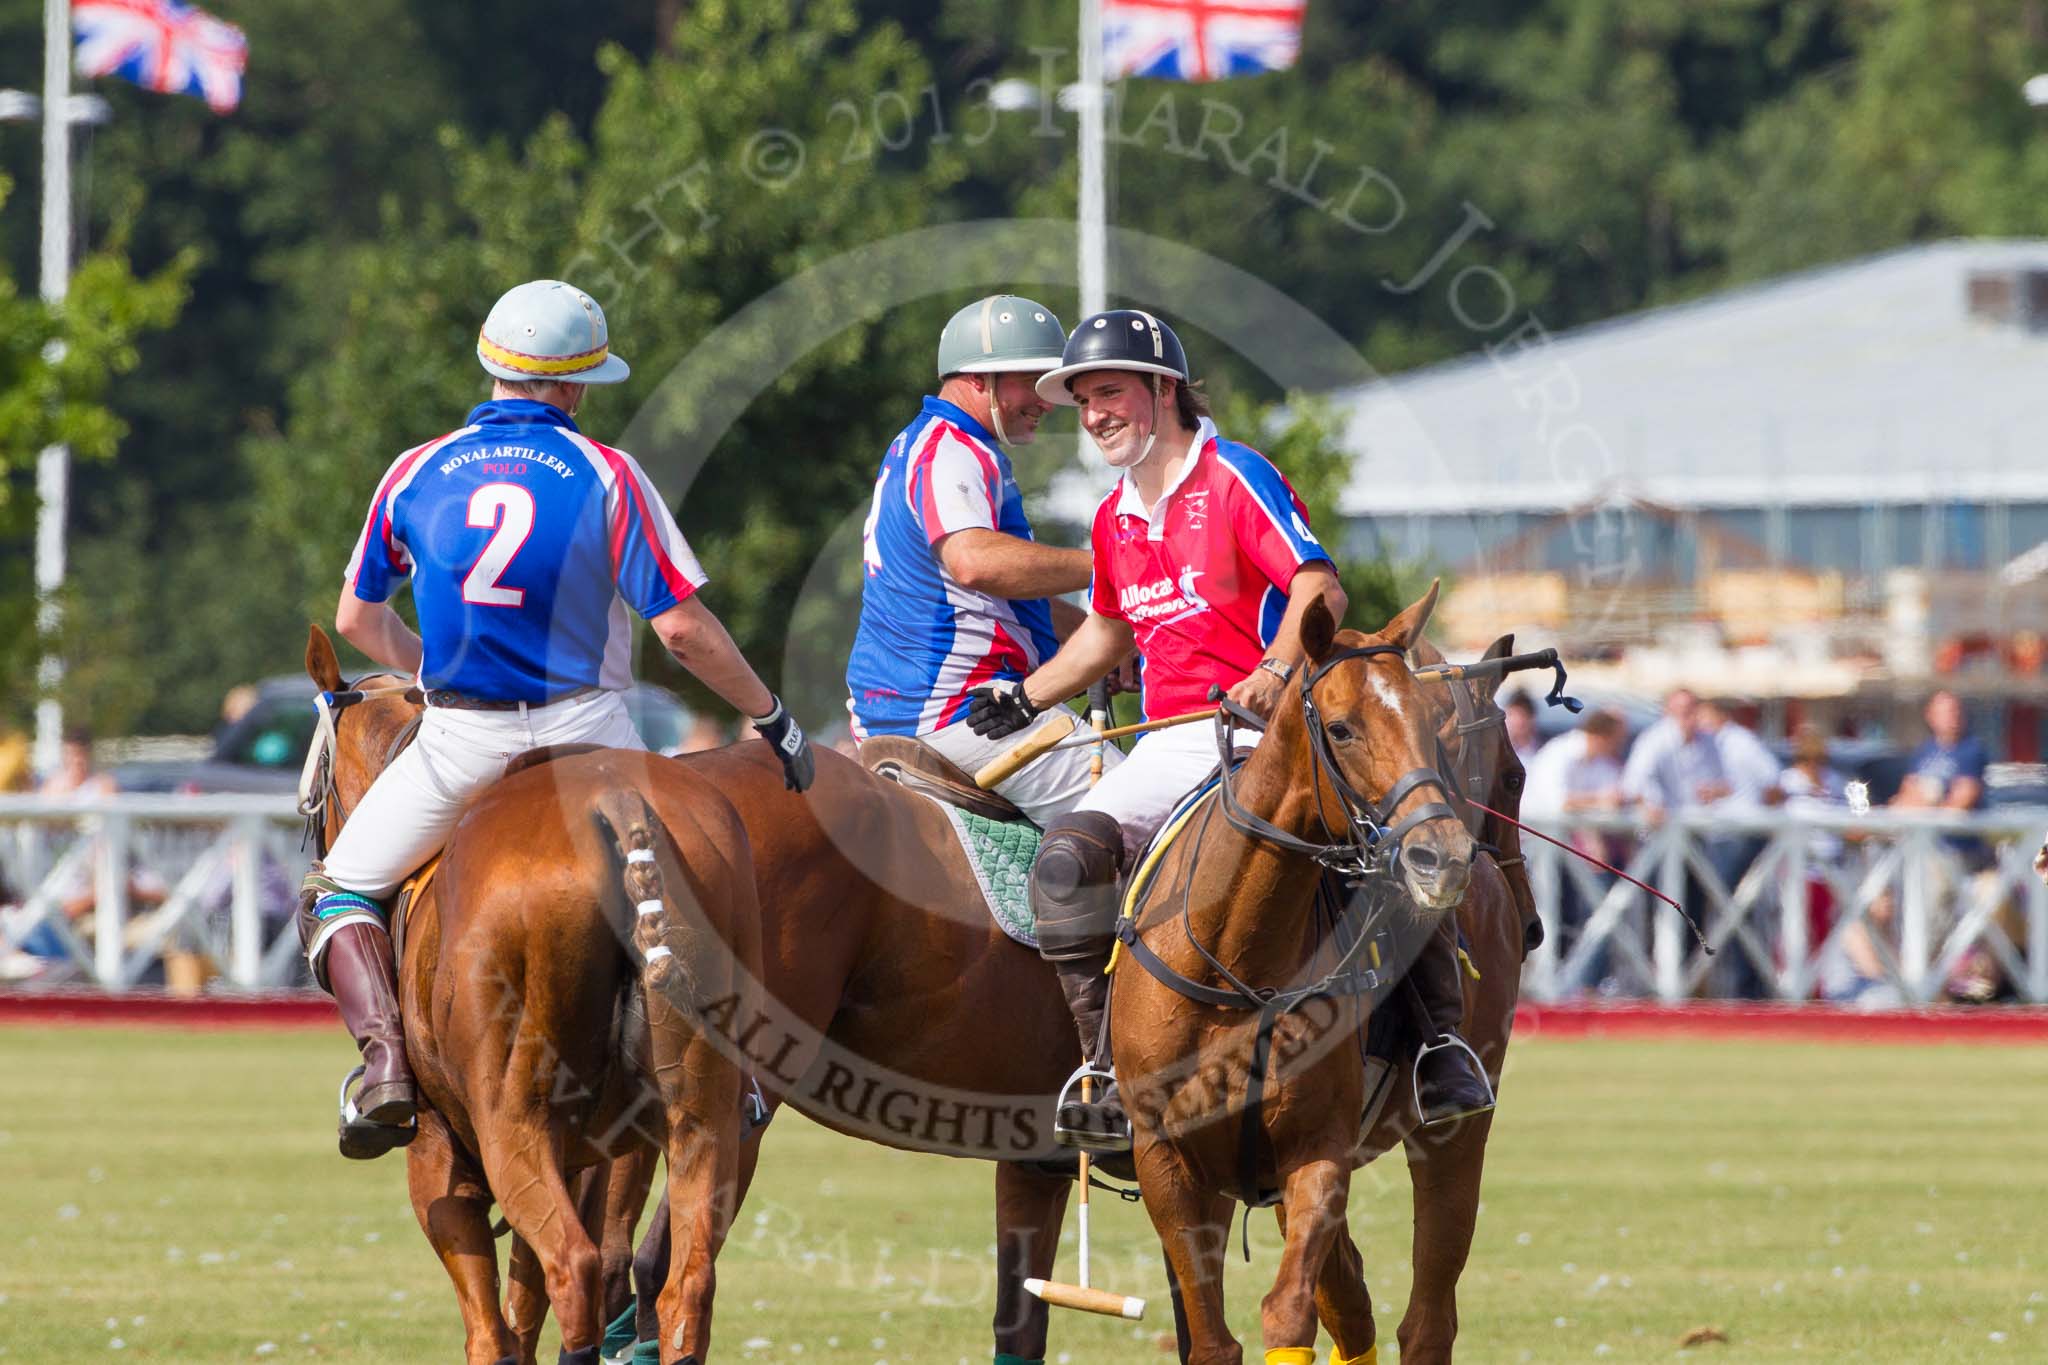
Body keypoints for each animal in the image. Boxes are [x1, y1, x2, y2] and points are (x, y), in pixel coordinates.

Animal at [299, 634, 757, 1365]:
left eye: (312, 796)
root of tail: (617, 798)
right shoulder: (587, 1161)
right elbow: (524, 1311)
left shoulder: (440, 1161)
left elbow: (493, 1331)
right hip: (702, 1119)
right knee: (685, 1284)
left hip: (514, 1121)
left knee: (577, 1268)